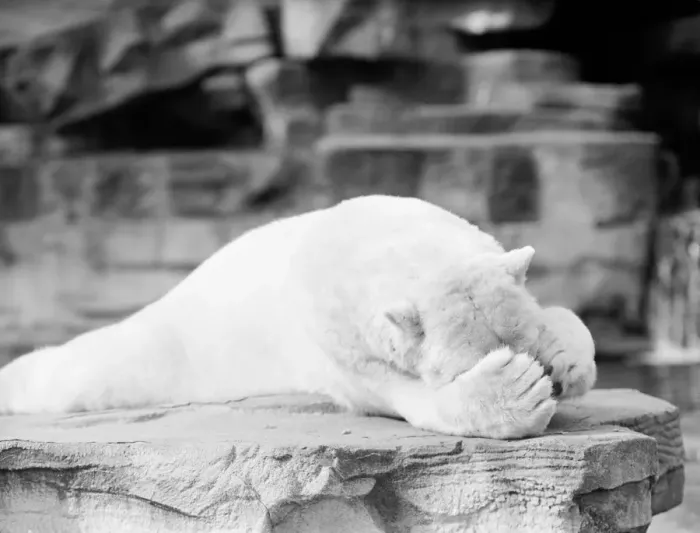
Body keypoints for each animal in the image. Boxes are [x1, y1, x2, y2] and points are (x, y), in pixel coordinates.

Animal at [0, 195, 596, 439]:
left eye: (531, 342)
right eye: (468, 362)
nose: (548, 380)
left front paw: (567, 360)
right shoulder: (341, 341)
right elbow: (406, 398)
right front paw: (517, 389)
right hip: (168, 346)